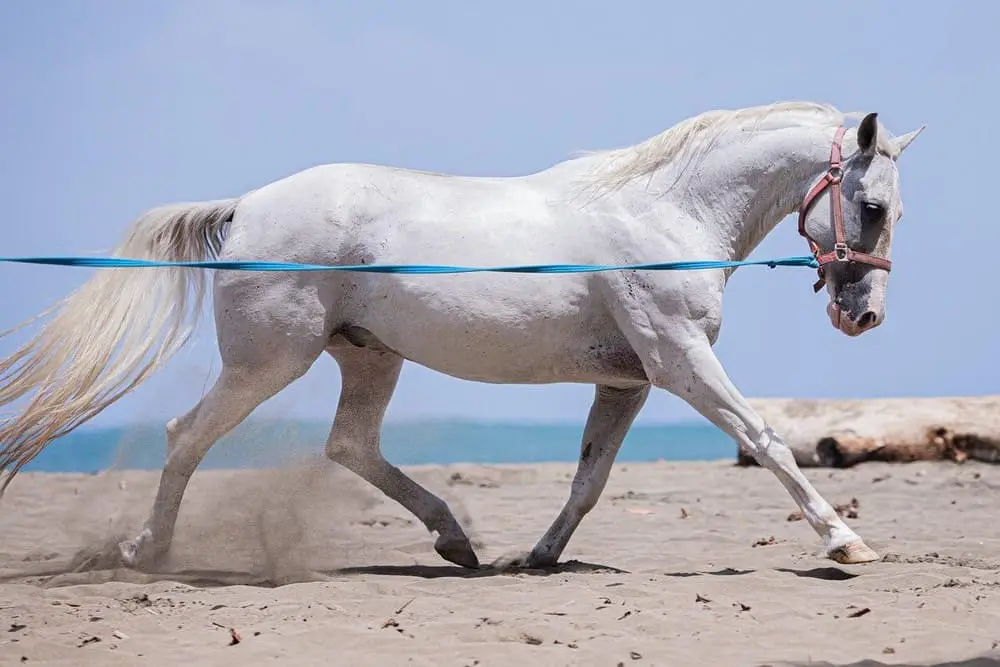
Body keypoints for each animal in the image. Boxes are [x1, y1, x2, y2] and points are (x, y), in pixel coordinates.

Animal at [0, 101, 924, 571]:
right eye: (874, 205)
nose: (863, 316)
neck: (666, 213)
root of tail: (248, 204)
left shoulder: (626, 380)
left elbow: (589, 477)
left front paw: (539, 556)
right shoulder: (681, 360)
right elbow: (766, 437)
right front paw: (847, 541)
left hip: (368, 356)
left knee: (350, 445)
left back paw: (456, 540)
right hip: (268, 360)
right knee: (186, 435)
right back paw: (146, 550)